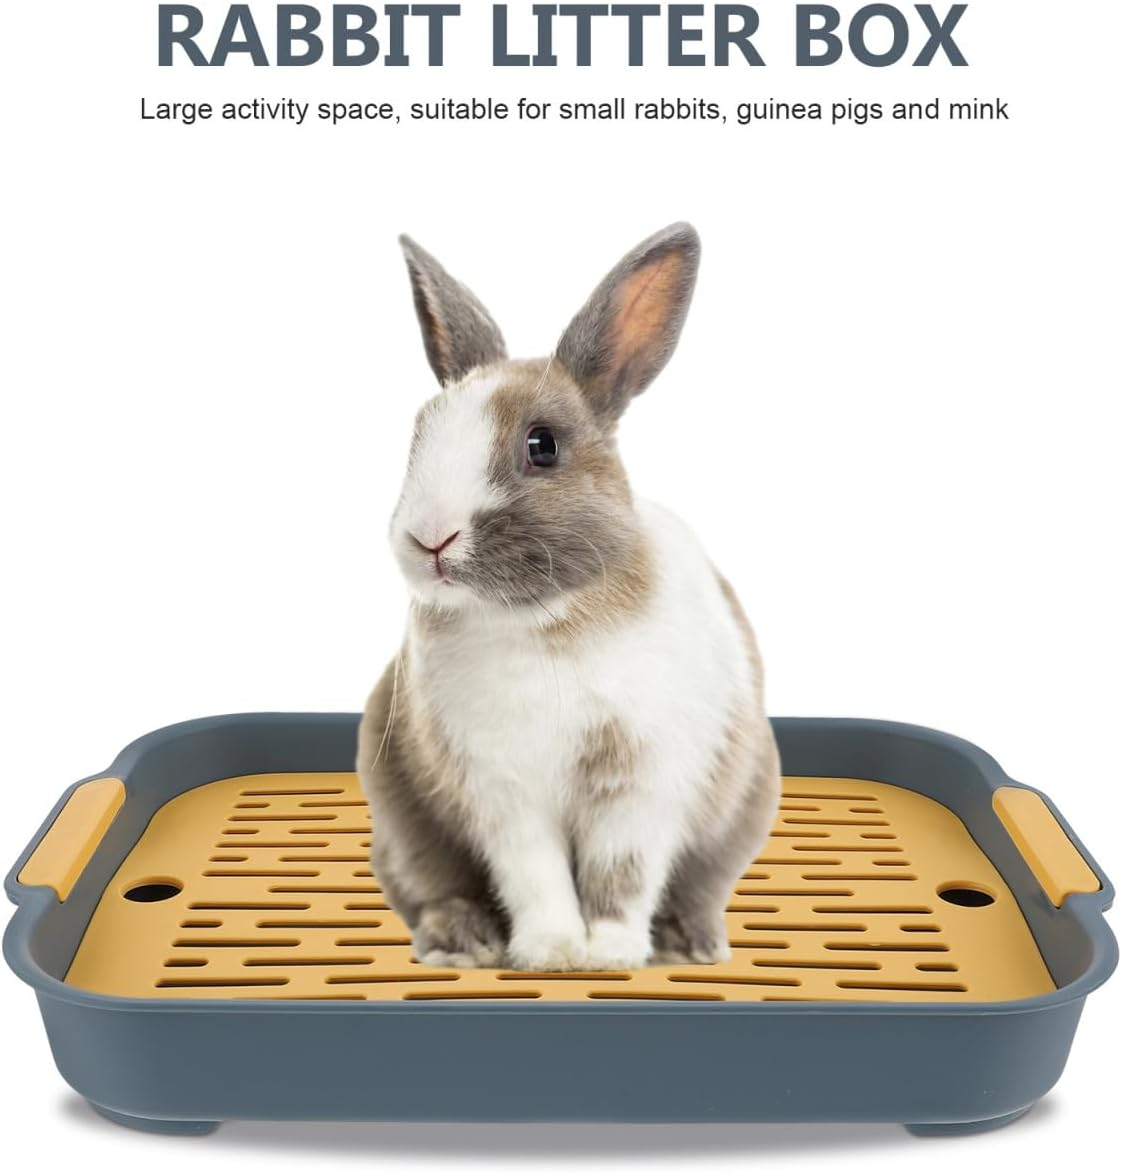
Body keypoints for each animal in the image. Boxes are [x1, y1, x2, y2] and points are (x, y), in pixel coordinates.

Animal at [357, 222, 781, 972]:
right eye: (418, 436)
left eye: (542, 445)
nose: (429, 538)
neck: (543, 621)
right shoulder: (504, 793)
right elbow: (537, 875)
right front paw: (552, 951)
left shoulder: (641, 784)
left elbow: (622, 873)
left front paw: (609, 953)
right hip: (402, 824)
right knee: (431, 888)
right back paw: (463, 943)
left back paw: (691, 944)